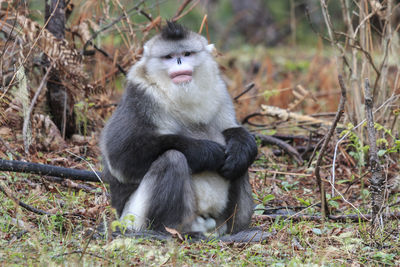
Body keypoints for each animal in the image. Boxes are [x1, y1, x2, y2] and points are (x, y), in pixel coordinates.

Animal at [99, 22, 258, 237]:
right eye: (169, 56)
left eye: (187, 53)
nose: (180, 61)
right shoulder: (140, 96)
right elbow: (120, 155)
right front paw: (206, 153)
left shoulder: (220, 91)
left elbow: (231, 131)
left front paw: (240, 148)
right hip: (133, 218)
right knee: (172, 158)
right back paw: (168, 231)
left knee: (240, 166)